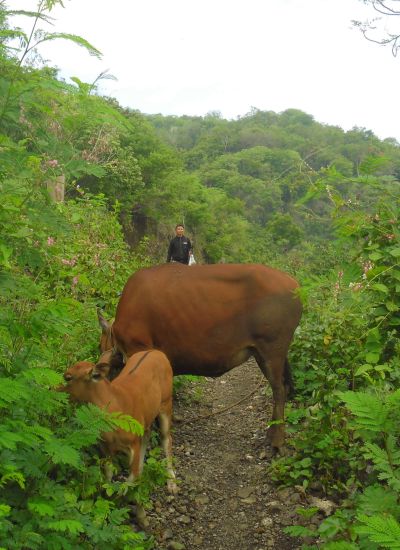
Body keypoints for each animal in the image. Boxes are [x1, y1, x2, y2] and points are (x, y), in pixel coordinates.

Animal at [60, 352, 177, 528]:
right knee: (148, 436)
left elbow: (131, 480)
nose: (52, 388)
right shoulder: (106, 446)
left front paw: (141, 517)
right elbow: (108, 474)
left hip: (166, 402)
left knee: (166, 439)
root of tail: (157, 352)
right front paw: (106, 501)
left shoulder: (133, 443)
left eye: (68, 377)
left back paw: (172, 483)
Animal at [98, 266, 302, 450]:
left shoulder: (140, 350)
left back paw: (276, 441)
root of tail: (294, 284)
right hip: (264, 353)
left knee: (279, 390)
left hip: (272, 349)